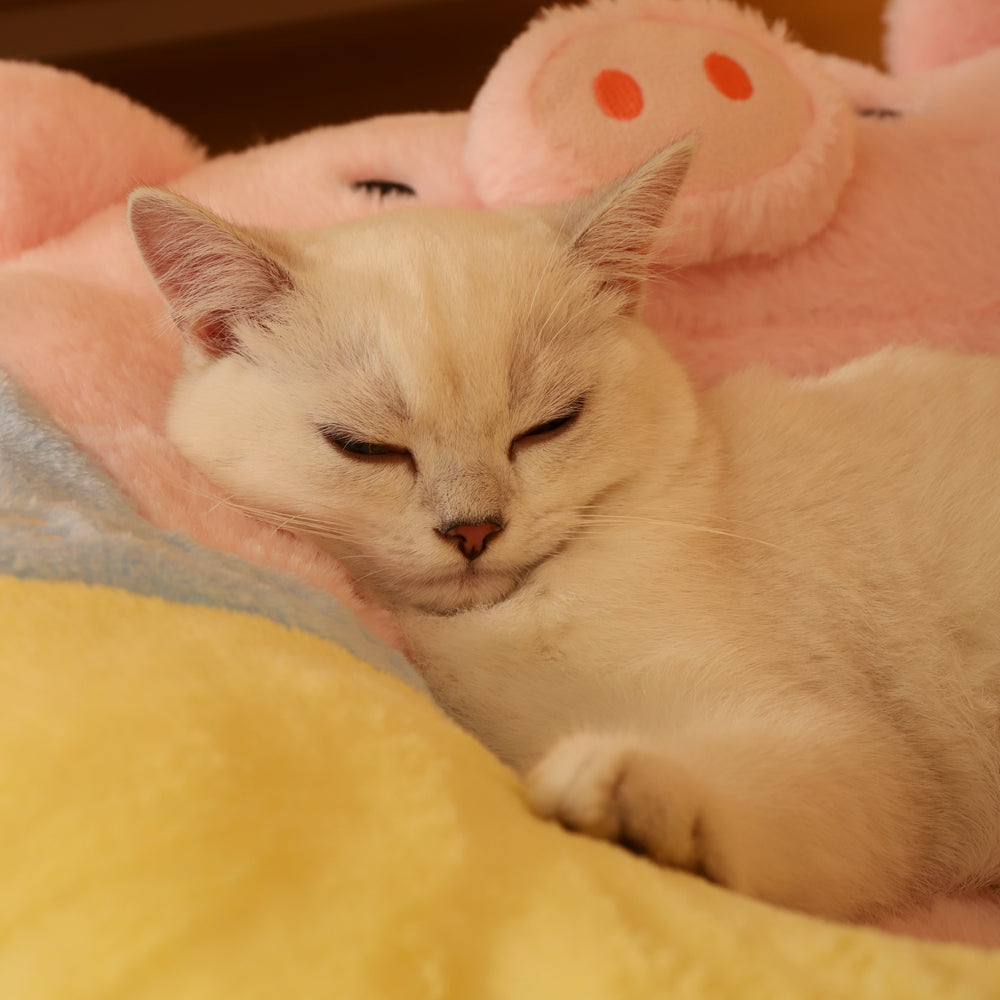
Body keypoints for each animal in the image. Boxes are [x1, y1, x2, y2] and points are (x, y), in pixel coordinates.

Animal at [129, 141, 1000, 920]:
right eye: (363, 446)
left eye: (550, 426)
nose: (473, 529)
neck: (498, 630)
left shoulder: (843, 750)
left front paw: (616, 804)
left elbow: (730, 797)